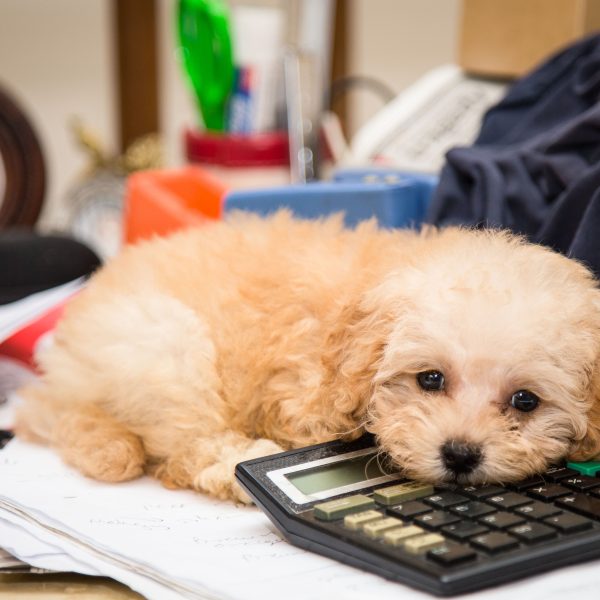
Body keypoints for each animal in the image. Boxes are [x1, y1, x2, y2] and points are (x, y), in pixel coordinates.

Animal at [12, 211, 600, 502]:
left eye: (525, 401)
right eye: (430, 379)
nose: (460, 454)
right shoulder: (302, 398)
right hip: (164, 347)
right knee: (190, 449)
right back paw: (234, 471)